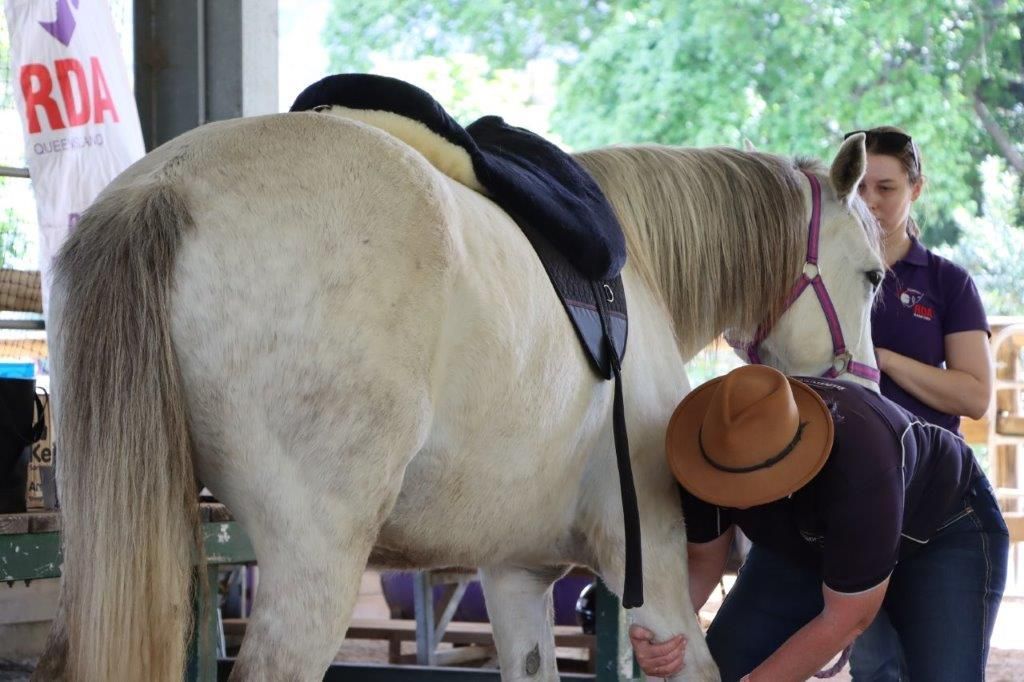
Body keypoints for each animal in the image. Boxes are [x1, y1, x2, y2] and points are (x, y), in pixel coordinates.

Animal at [36, 112, 882, 682]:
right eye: (874, 275)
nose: (865, 389)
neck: (636, 269)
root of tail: (167, 186)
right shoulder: (652, 557)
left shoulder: (515, 574)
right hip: (316, 558)